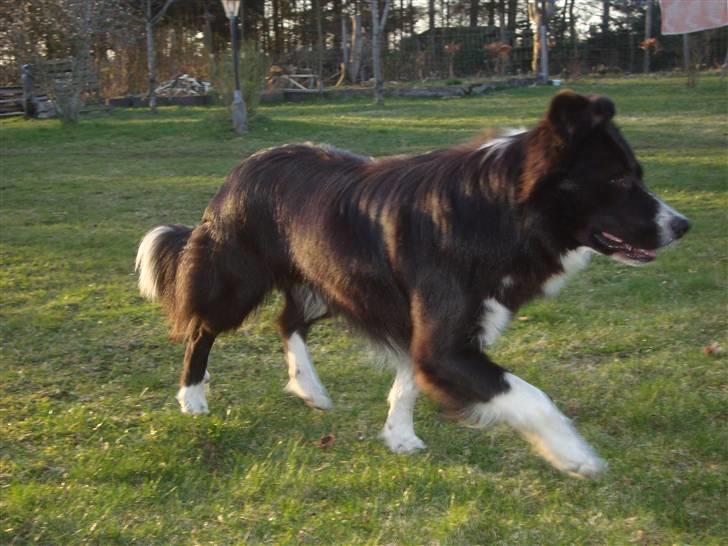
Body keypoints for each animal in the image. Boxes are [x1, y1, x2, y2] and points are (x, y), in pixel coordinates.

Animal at [135, 91, 688, 474]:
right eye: (618, 180)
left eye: (636, 174)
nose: (682, 225)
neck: (499, 210)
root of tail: (237, 171)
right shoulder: (445, 341)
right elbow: (529, 395)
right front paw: (575, 454)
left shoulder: (425, 327)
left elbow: (408, 379)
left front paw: (398, 434)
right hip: (238, 280)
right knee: (201, 328)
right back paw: (192, 398)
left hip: (328, 278)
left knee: (287, 319)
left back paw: (309, 387)